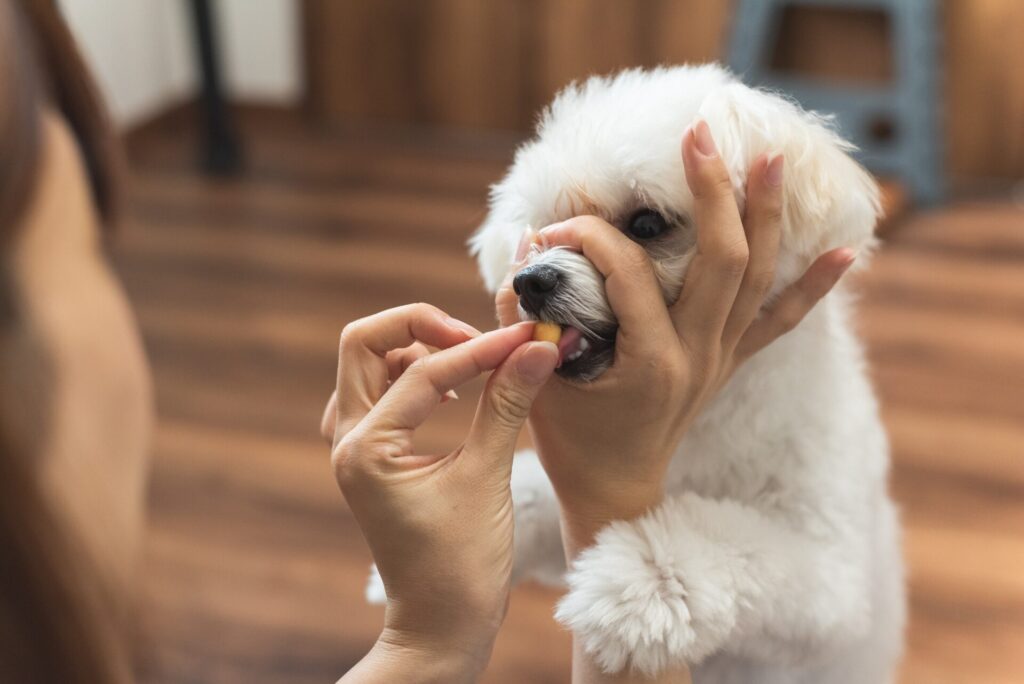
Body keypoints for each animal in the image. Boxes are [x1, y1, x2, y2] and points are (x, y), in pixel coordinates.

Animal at [368, 62, 905, 679]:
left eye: (647, 223)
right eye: (543, 232)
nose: (531, 282)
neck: (704, 425)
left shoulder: (831, 577)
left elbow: (724, 541)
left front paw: (634, 587)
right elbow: (530, 493)